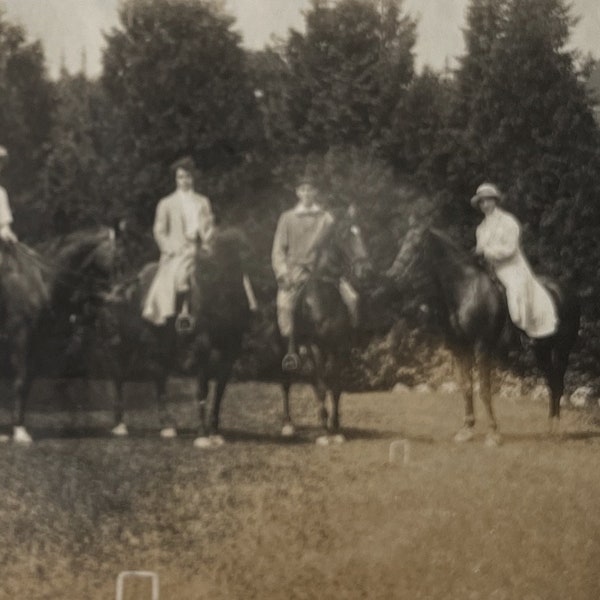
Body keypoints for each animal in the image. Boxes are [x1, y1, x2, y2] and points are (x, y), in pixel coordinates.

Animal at [0, 227, 118, 442]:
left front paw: (20, 426)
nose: (113, 295)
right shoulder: (20, 336)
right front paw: (19, 432)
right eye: (116, 258)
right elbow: (20, 380)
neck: (38, 278)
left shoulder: (37, 340)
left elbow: (27, 381)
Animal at [97, 227, 252, 448]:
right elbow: (202, 390)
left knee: (158, 377)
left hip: (160, 344)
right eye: (205, 269)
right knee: (118, 376)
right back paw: (120, 426)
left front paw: (215, 433)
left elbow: (219, 394)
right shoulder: (201, 347)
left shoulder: (230, 352)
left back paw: (167, 426)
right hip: (120, 344)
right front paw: (202, 434)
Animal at [278, 206, 372, 446]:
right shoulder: (315, 346)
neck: (324, 297)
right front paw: (325, 427)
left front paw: (335, 424)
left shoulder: (338, 347)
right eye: (345, 235)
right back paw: (288, 424)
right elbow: (321, 385)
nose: (365, 269)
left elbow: (334, 385)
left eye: (362, 231)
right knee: (287, 382)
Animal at [384, 227, 580, 442]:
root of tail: (565, 292)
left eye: (416, 245)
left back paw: (556, 430)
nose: (392, 275)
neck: (466, 290)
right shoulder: (459, 348)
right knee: (551, 383)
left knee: (558, 383)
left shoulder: (482, 346)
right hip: (541, 350)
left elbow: (485, 389)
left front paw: (493, 433)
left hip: (561, 349)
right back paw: (549, 428)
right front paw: (466, 429)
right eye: (403, 242)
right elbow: (466, 386)